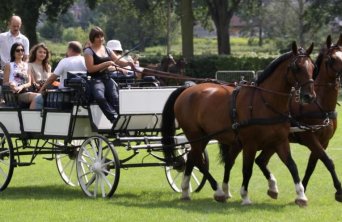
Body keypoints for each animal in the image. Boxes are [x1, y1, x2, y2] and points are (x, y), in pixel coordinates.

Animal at [162, 41, 316, 206]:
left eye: (312, 67)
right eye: (297, 67)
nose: (309, 96)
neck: (265, 102)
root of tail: (188, 89)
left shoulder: (280, 141)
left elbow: (292, 165)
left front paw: (300, 195)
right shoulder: (250, 144)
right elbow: (247, 169)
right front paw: (245, 196)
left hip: (205, 137)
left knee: (192, 158)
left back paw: (186, 191)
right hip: (197, 136)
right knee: (197, 159)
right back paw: (217, 191)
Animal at [251, 33, 342, 202]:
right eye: (332, 59)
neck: (319, 104)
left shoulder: (324, 141)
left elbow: (312, 166)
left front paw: (303, 188)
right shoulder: (309, 137)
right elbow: (328, 161)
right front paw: (339, 190)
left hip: (274, 141)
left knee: (261, 160)